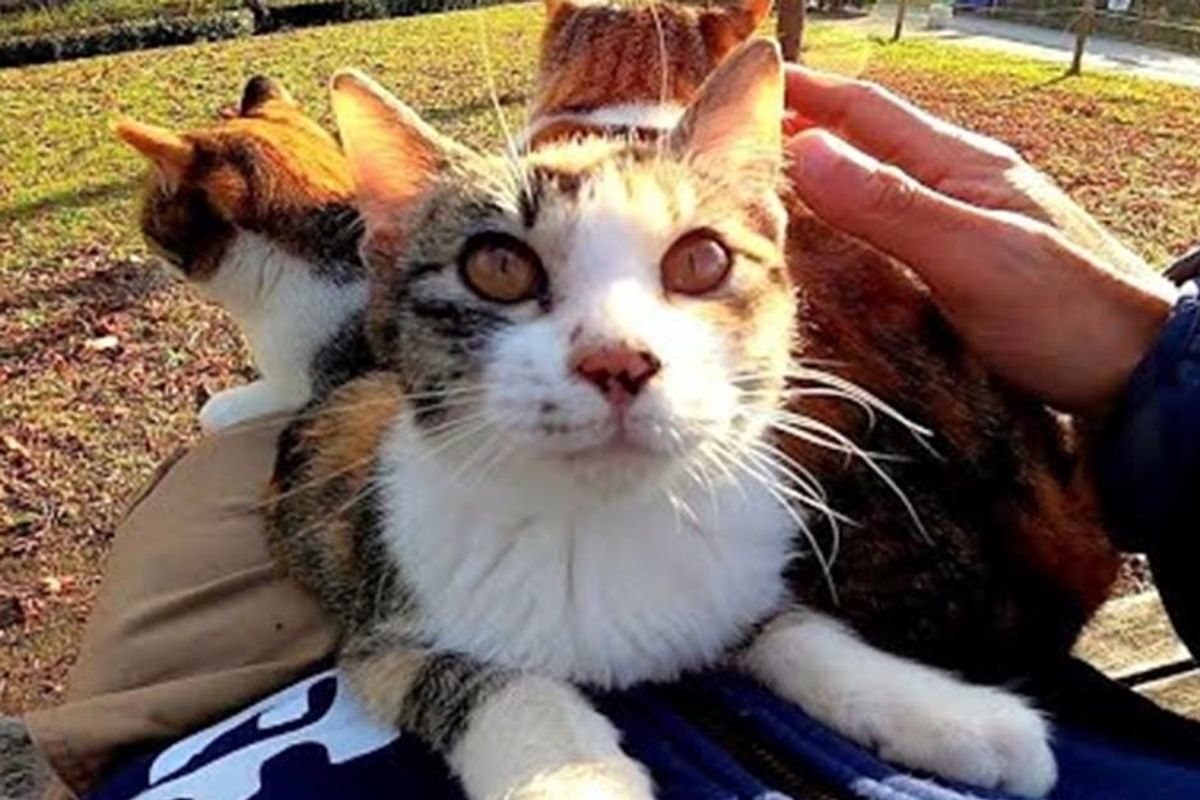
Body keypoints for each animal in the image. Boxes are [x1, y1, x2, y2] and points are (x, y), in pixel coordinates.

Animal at [270, 43, 1080, 800]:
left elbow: (794, 628)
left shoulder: (731, 576)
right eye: (496, 267)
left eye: (701, 260)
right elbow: (486, 683)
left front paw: (953, 715)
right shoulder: (381, 632)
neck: (604, 522)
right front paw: (573, 776)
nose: (618, 360)